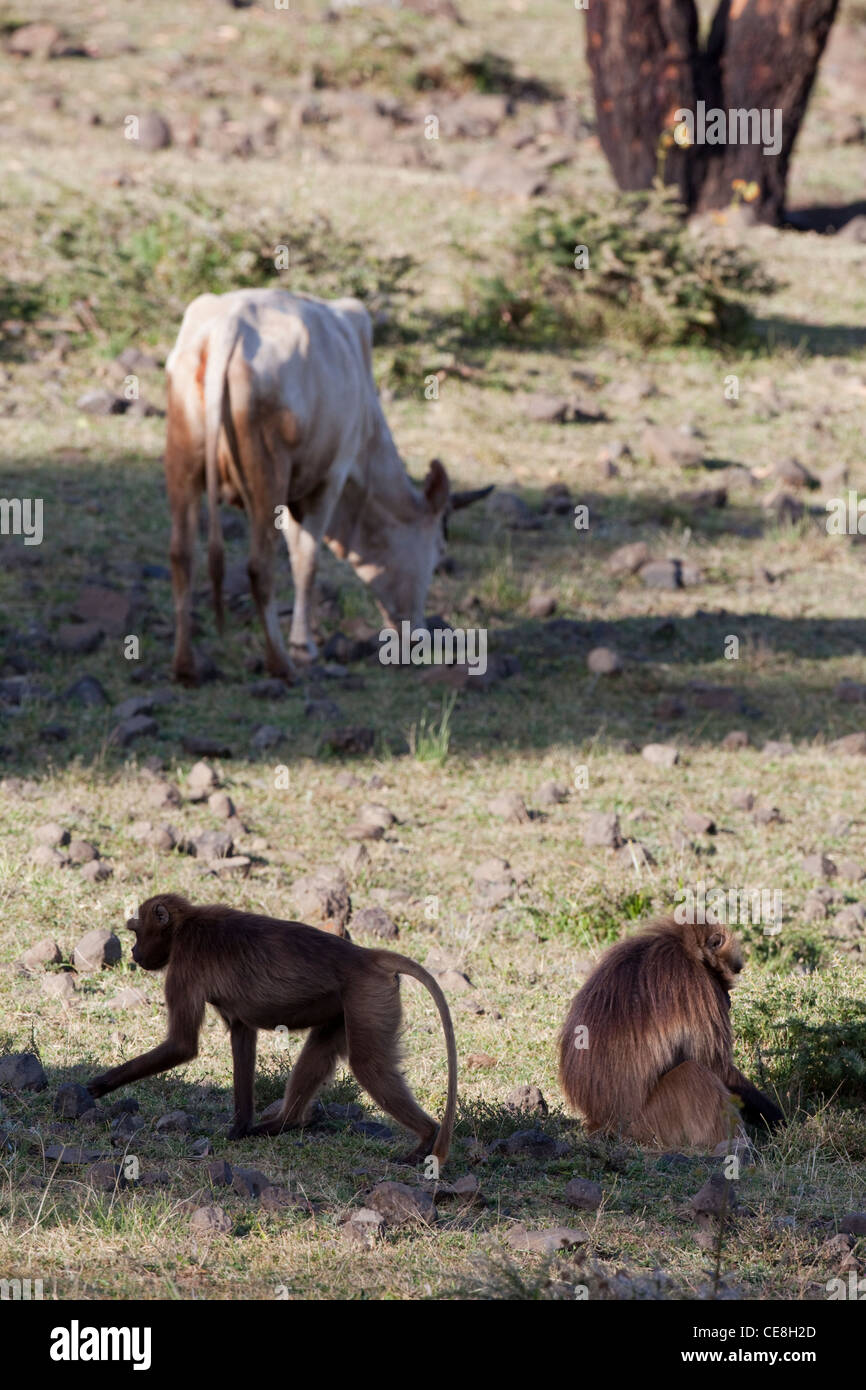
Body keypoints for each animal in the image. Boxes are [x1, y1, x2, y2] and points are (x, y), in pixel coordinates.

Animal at [162, 287, 489, 683]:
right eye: (439, 549)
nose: (417, 636)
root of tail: (231, 323)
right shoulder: (330, 477)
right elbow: (307, 559)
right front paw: (303, 646)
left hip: (182, 466)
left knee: (182, 555)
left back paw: (185, 666)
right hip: (268, 476)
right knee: (259, 566)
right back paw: (280, 663)